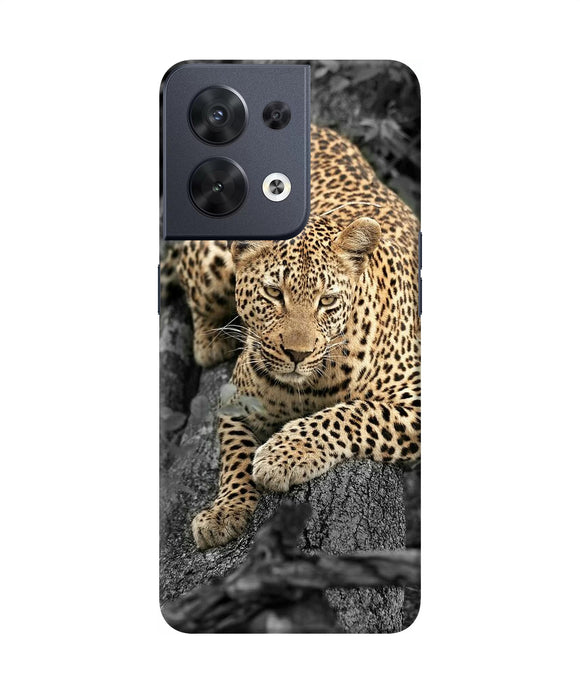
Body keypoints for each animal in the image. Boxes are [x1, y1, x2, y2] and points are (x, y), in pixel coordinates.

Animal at [166, 124, 420, 550]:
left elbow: (352, 414)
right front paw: (224, 510)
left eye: (327, 300)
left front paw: (282, 455)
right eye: (273, 293)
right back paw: (211, 340)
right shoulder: (236, 399)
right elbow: (234, 455)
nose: (297, 354)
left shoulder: (415, 398)